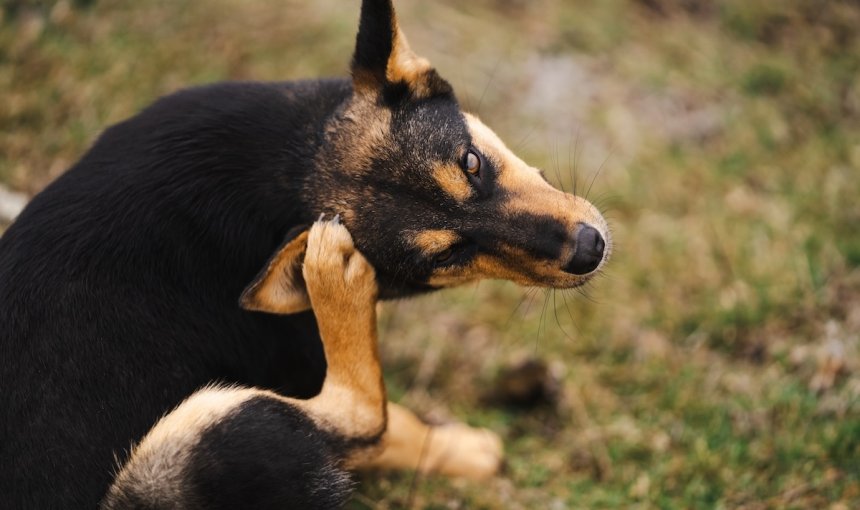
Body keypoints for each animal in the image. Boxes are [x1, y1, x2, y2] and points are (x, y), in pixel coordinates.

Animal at [0, 0, 612, 506]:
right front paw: (468, 453)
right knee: (360, 415)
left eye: (471, 162)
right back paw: (334, 279)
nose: (590, 249)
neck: (287, 172)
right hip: (196, 437)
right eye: (444, 258)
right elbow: (388, 427)